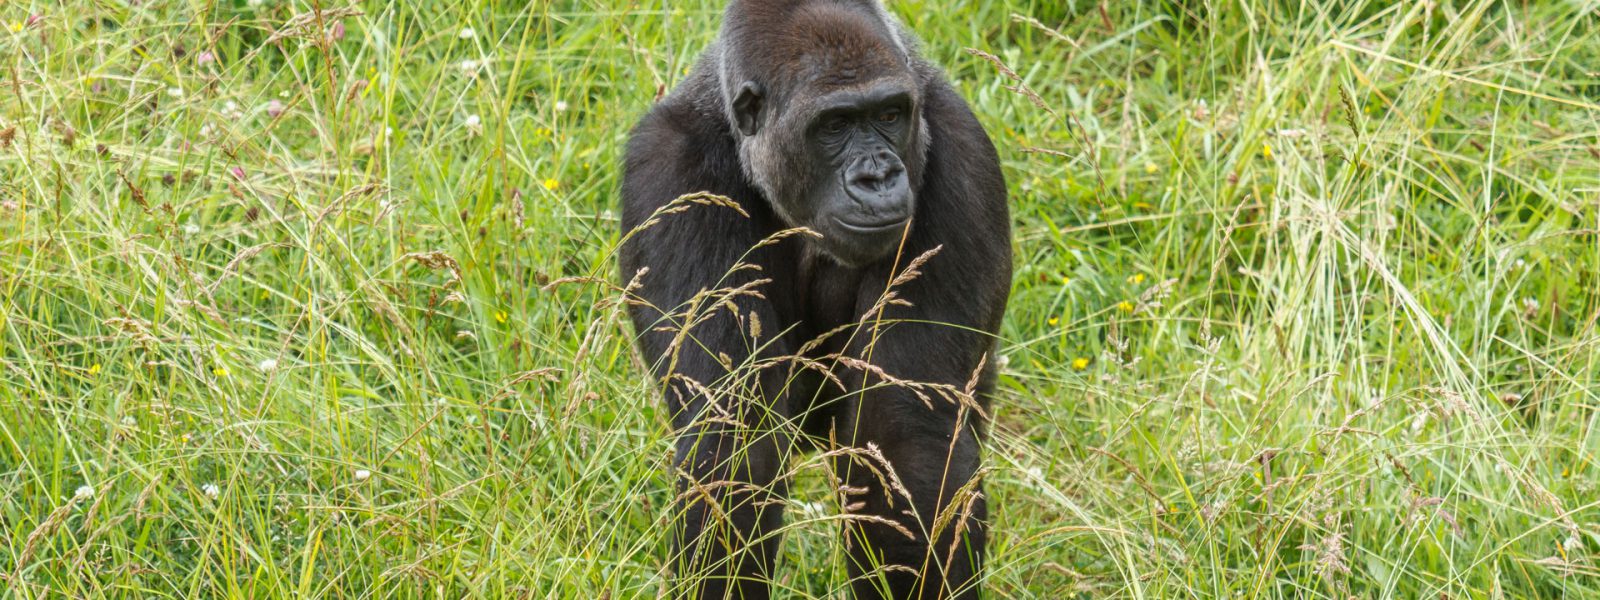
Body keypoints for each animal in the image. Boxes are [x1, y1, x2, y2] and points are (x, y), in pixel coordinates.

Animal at [617, 2, 1004, 598]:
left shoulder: (963, 157)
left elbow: (905, 439)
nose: (878, 175)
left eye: (890, 114)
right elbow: (734, 437)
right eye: (835, 125)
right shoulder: (667, 172)